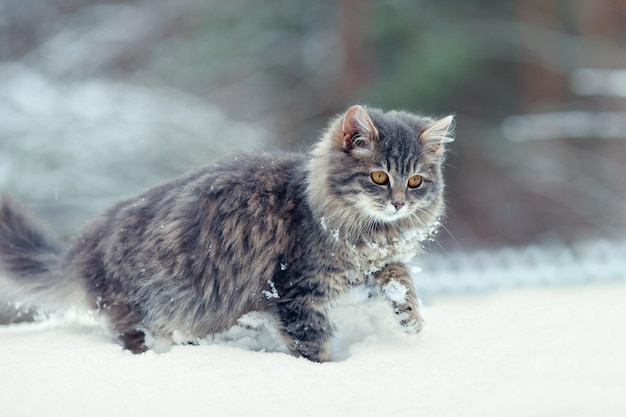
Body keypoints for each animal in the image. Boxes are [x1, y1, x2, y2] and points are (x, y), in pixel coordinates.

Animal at [0, 105, 450, 360]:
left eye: (415, 182)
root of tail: (84, 244)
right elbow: (313, 344)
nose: (398, 203)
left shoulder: (369, 269)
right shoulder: (296, 291)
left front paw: (410, 317)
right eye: (379, 177)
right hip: (145, 309)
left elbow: (398, 275)